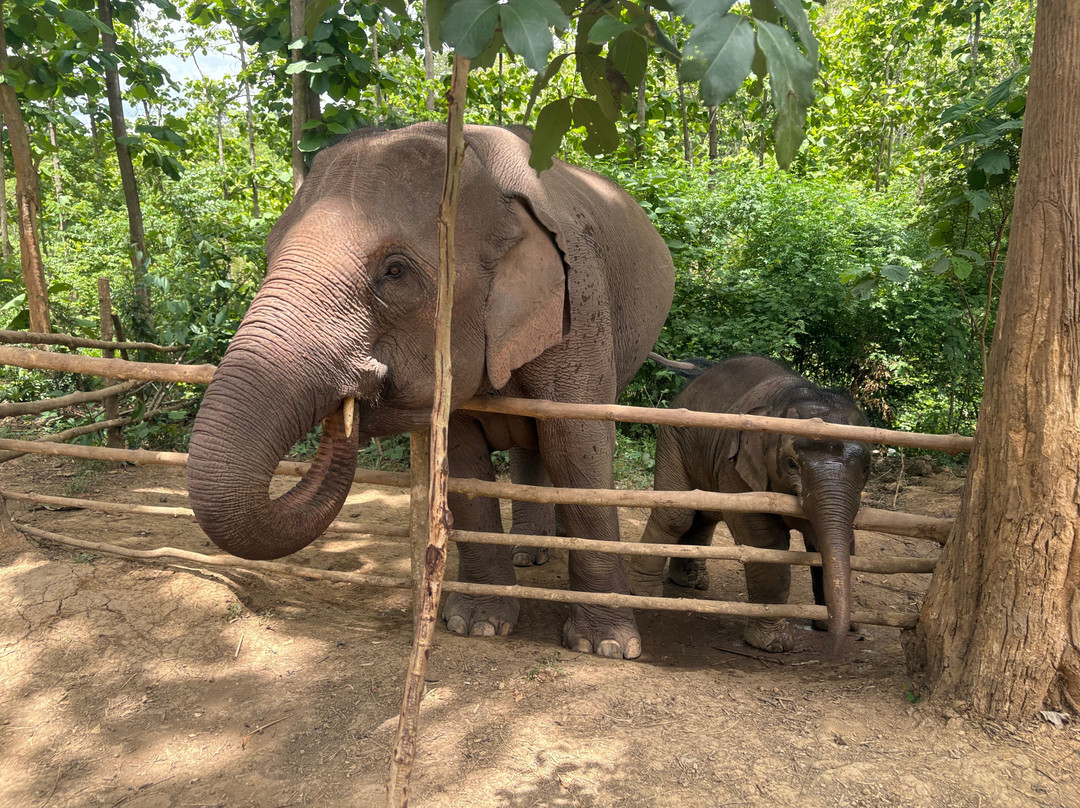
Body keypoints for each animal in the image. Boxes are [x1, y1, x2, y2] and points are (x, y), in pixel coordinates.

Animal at [186, 122, 675, 659]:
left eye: (395, 271)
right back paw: (528, 555)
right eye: (270, 256)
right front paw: (476, 625)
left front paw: (606, 646)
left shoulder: (582, 309)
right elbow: (462, 464)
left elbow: (578, 448)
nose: (350, 399)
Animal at [626, 355, 871, 654]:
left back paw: (692, 582)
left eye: (866, 469)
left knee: (705, 512)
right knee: (678, 515)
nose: (837, 646)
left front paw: (835, 624)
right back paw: (643, 592)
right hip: (675, 437)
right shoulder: (737, 464)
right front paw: (774, 644)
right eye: (791, 463)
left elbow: (836, 540)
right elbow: (764, 539)